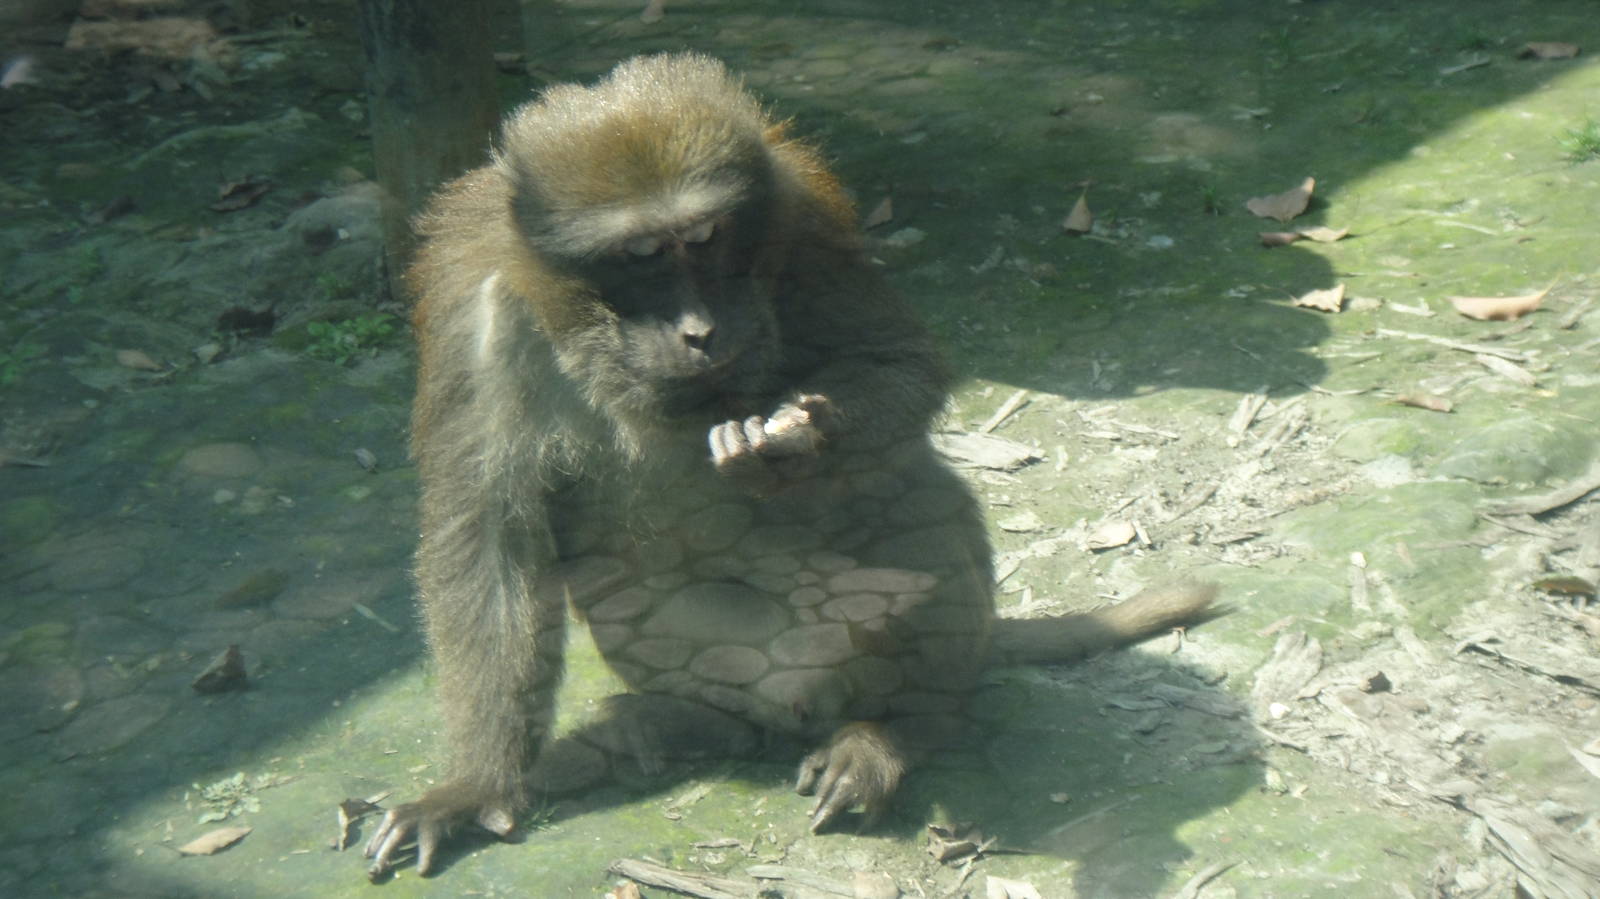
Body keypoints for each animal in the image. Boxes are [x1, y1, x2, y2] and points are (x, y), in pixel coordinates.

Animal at [363, 52, 1216, 879]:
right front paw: (474, 786)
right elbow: (488, 531)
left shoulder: (803, 219)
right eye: (641, 255)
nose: (701, 329)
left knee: (907, 487)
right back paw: (679, 724)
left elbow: (901, 364)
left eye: (706, 237)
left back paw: (900, 728)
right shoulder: (474, 309)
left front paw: (791, 445)